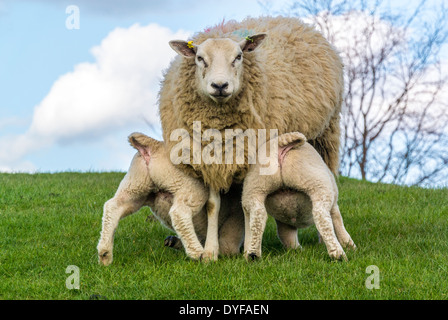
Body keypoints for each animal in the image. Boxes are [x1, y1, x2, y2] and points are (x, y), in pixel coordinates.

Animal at [96, 132, 243, 264]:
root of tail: (154, 146)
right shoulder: (234, 219)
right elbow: (227, 247)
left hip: (135, 185)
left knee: (113, 206)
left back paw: (104, 253)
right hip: (189, 186)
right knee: (179, 213)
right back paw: (197, 252)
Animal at [242, 131, 356, 262]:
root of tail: (279, 143)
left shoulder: (285, 222)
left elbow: (287, 236)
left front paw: (297, 250)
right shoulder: (334, 206)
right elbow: (338, 222)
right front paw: (349, 245)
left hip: (255, 188)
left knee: (257, 218)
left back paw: (252, 254)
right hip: (316, 183)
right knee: (322, 218)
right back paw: (338, 254)